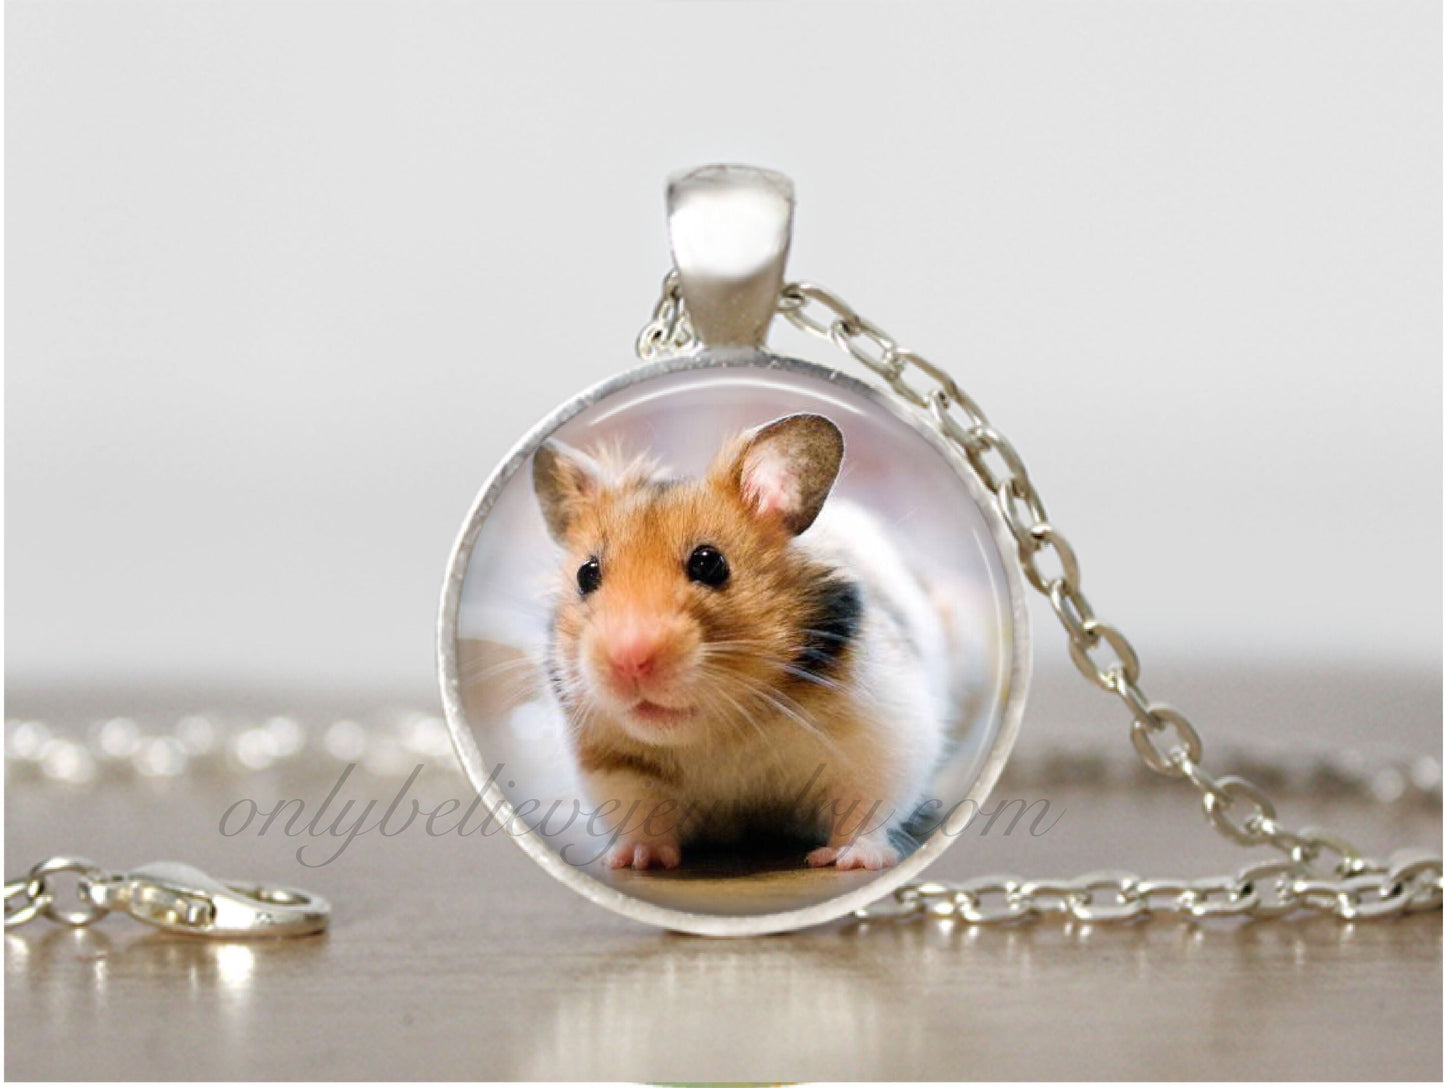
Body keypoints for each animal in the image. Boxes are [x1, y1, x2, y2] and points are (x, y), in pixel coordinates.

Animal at [532, 412, 963, 871]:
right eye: (586, 574)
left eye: (709, 563)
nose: (629, 661)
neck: (723, 731)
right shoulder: (613, 766)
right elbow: (642, 814)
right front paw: (634, 861)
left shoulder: (883, 735)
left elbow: (864, 806)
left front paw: (851, 861)